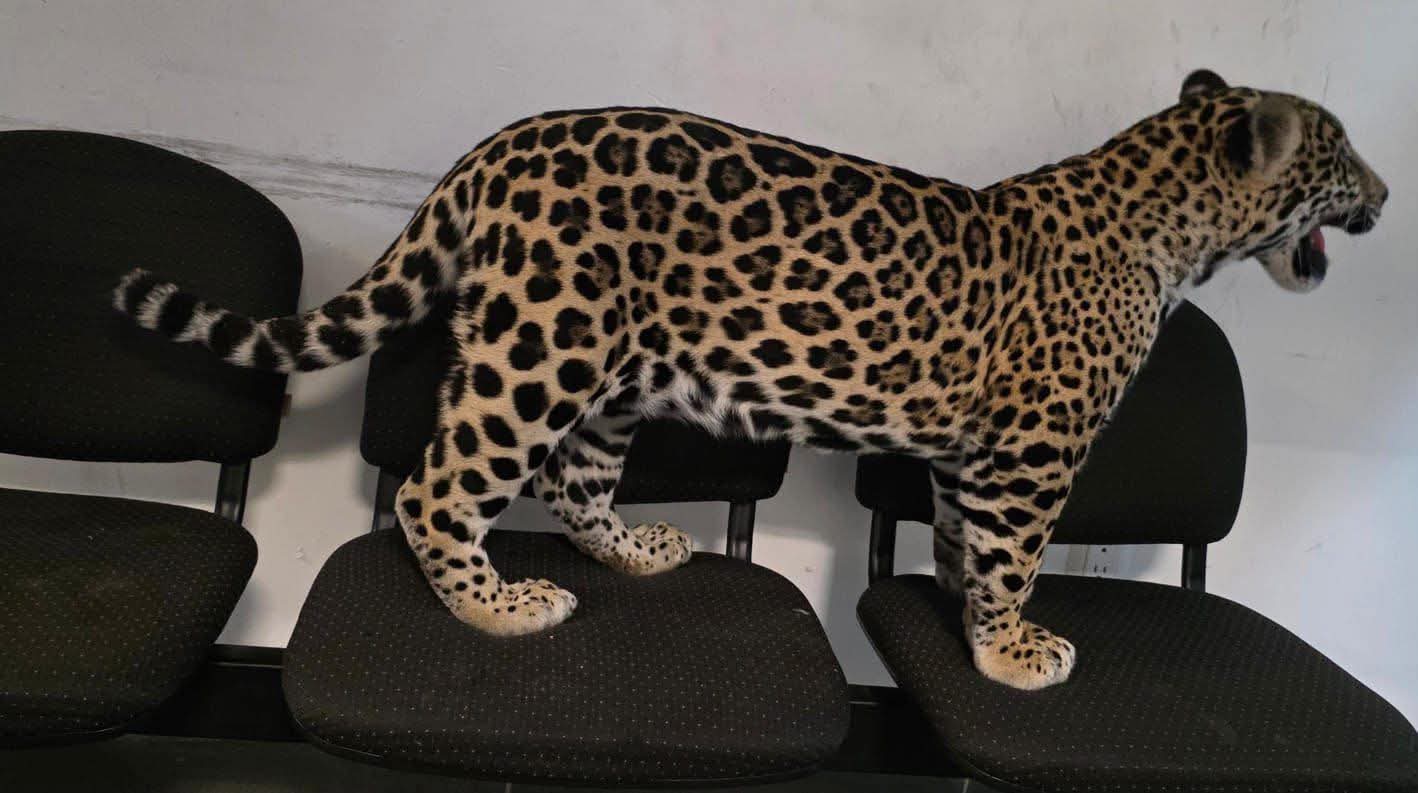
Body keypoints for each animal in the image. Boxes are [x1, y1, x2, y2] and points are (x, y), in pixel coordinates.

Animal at [115, 69, 1386, 690]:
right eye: (1339, 159)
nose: (1382, 194)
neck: (1168, 223)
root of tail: (496, 145)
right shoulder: (1035, 449)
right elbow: (1015, 554)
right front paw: (1012, 651)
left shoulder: (976, 450)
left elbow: (961, 536)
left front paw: (961, 607)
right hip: (543, 346)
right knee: (441, 487)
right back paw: (498, 605)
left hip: (610, 371)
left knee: (575, 483)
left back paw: (632, 549)